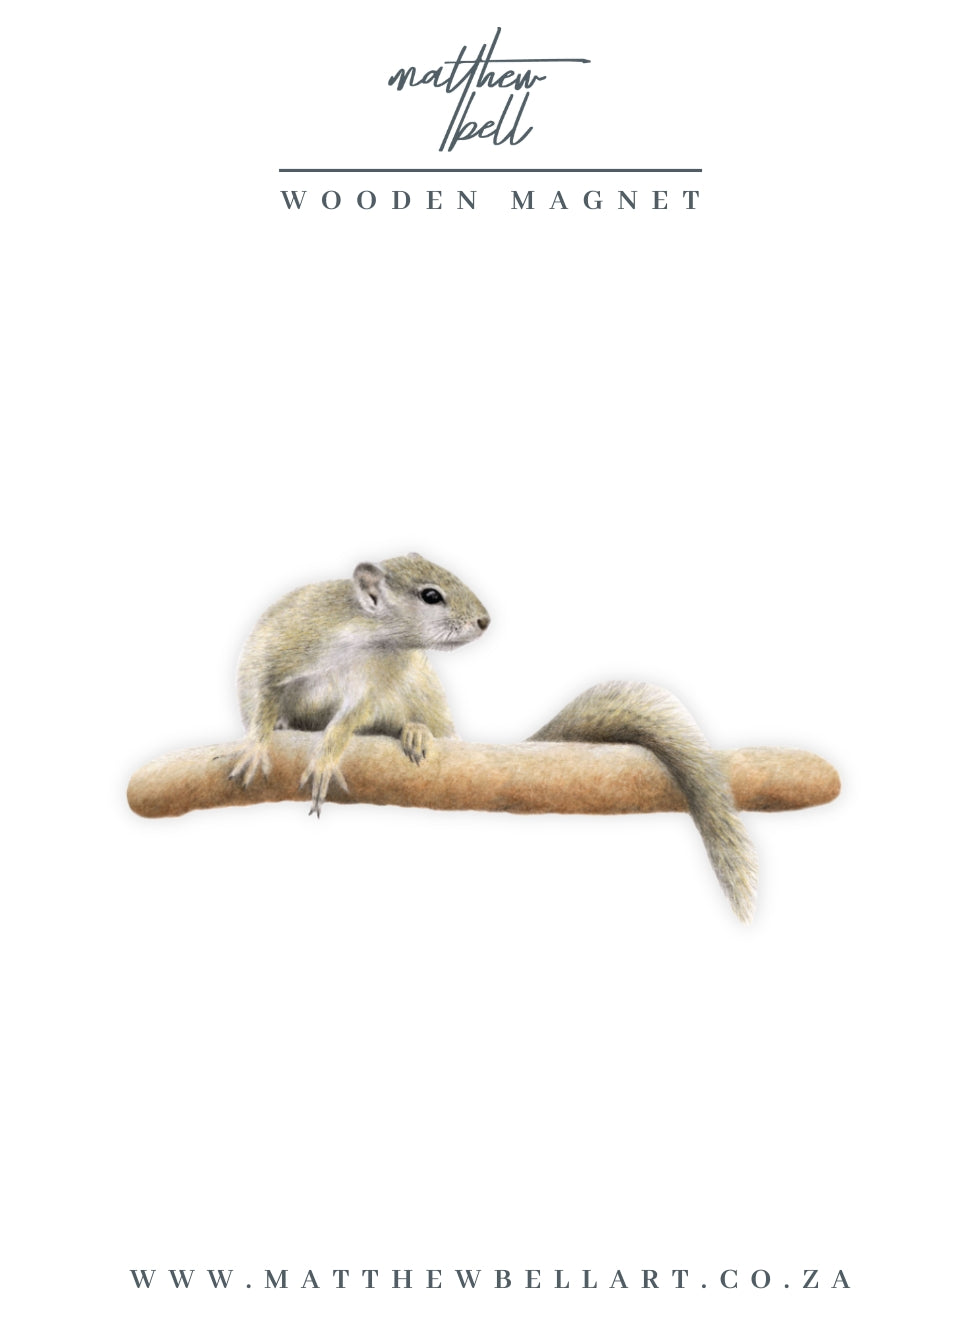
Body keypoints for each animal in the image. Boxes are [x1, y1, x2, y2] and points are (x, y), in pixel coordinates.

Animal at [230, 552, 757, 922]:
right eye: (431, 596)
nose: (485, 621)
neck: (363, 638)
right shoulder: (281, 640)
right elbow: (259, 696)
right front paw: (257, 744)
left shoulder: (379, 682)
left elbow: (347, 721)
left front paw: (325, 757)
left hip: (422, 688)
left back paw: (417, 731)